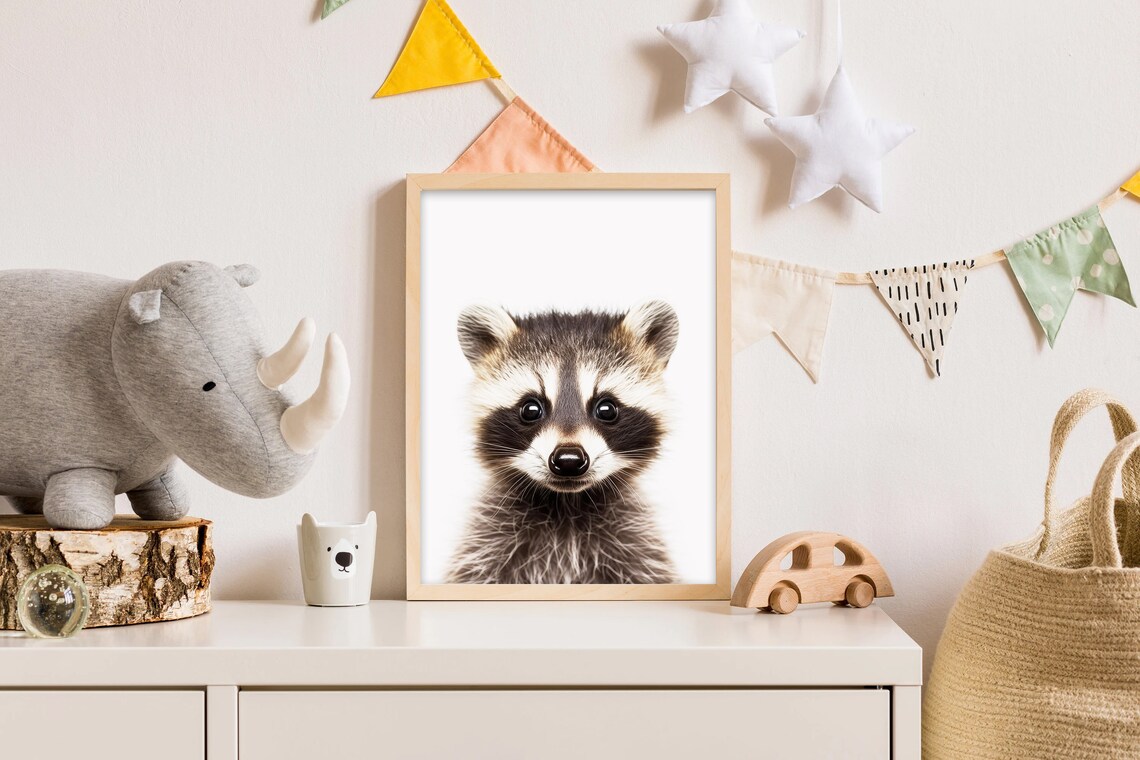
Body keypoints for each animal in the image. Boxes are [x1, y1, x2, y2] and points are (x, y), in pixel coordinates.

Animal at [446, 300, 681, 585]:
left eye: (606, 409)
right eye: (531, 409)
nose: (569, 460)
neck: (566, 506)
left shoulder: (637, 549)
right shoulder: (486, 546)